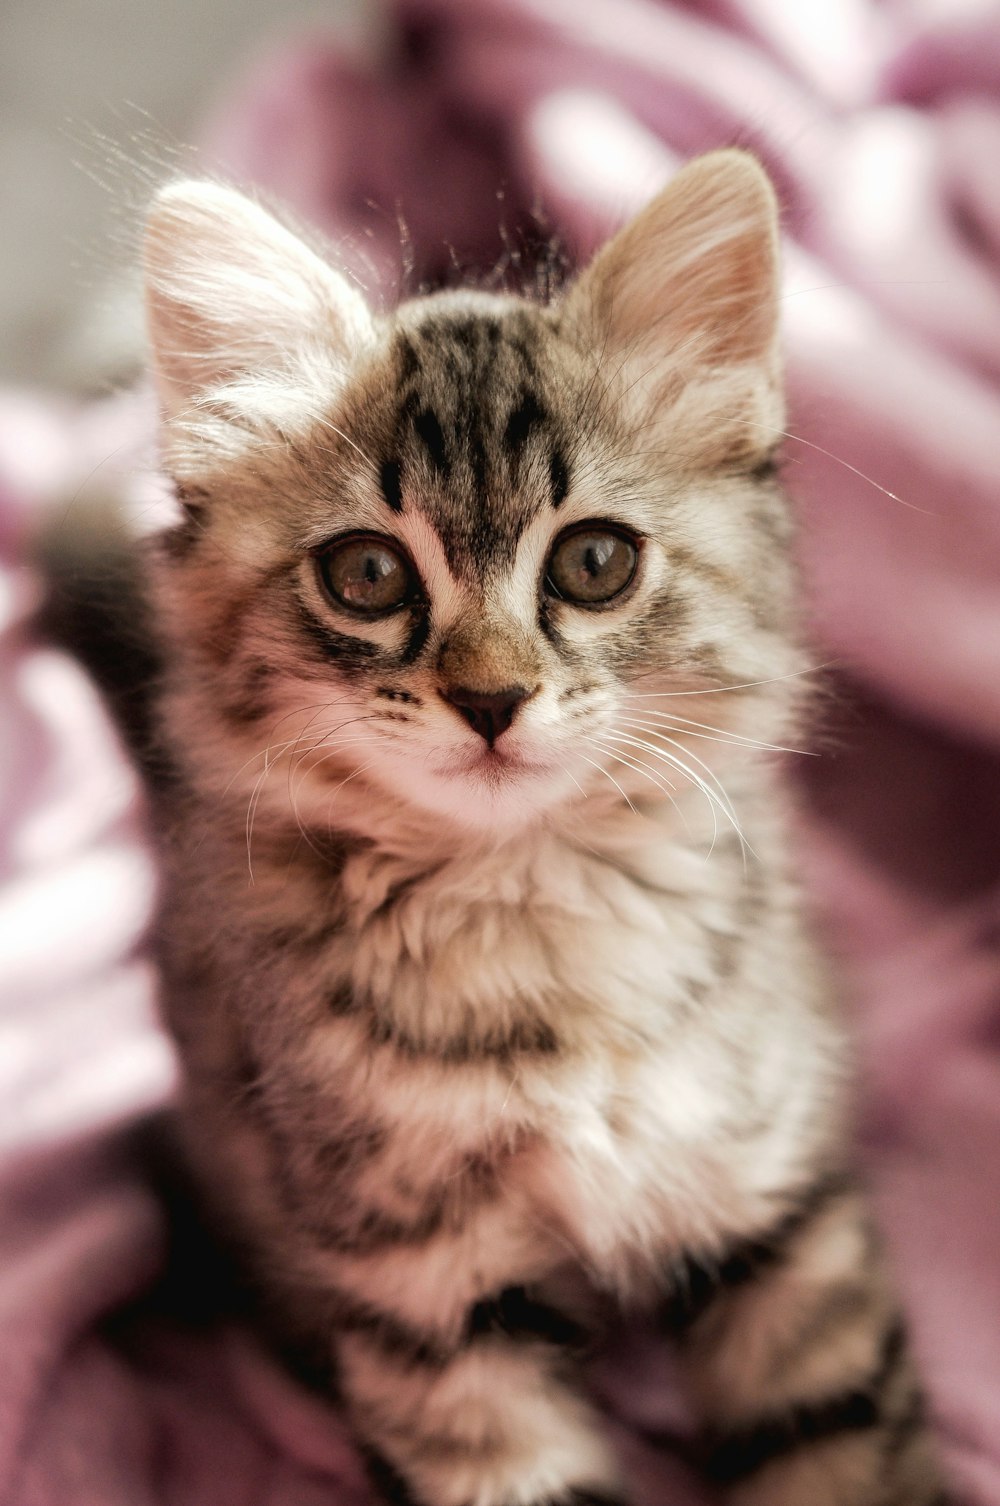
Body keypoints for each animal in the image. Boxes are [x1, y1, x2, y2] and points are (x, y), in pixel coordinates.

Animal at [140, 152, 945, 1506]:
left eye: (594, 563)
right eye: (367, 576)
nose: (489, 699)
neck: (536, 916)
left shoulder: (777, 1209)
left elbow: (838, 1450)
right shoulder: (426, 1301)